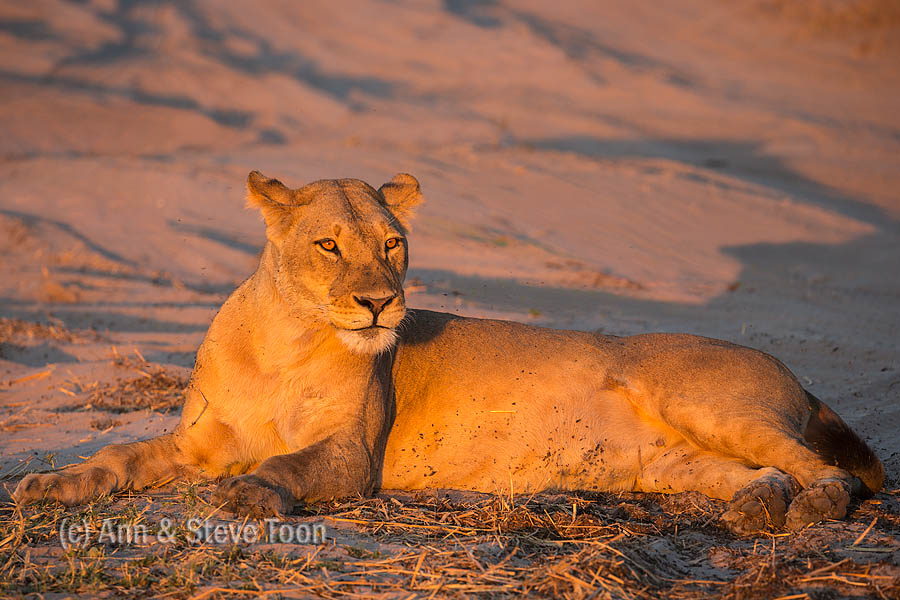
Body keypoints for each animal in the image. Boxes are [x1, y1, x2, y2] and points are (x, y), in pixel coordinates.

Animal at [14, 171, 883, 534]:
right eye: (329, 245)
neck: (282, 344)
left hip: (699, 400)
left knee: (827, 473)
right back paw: (755, 509)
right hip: (674, 461)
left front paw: (248, 495)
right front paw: (48, 485)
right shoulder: (196, 442)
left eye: (394, 244)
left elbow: (285, 464)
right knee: (764, 472)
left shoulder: (351, 457)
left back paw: (806, 510)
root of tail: (797, 373)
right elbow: (118, 457)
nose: (379, 303)